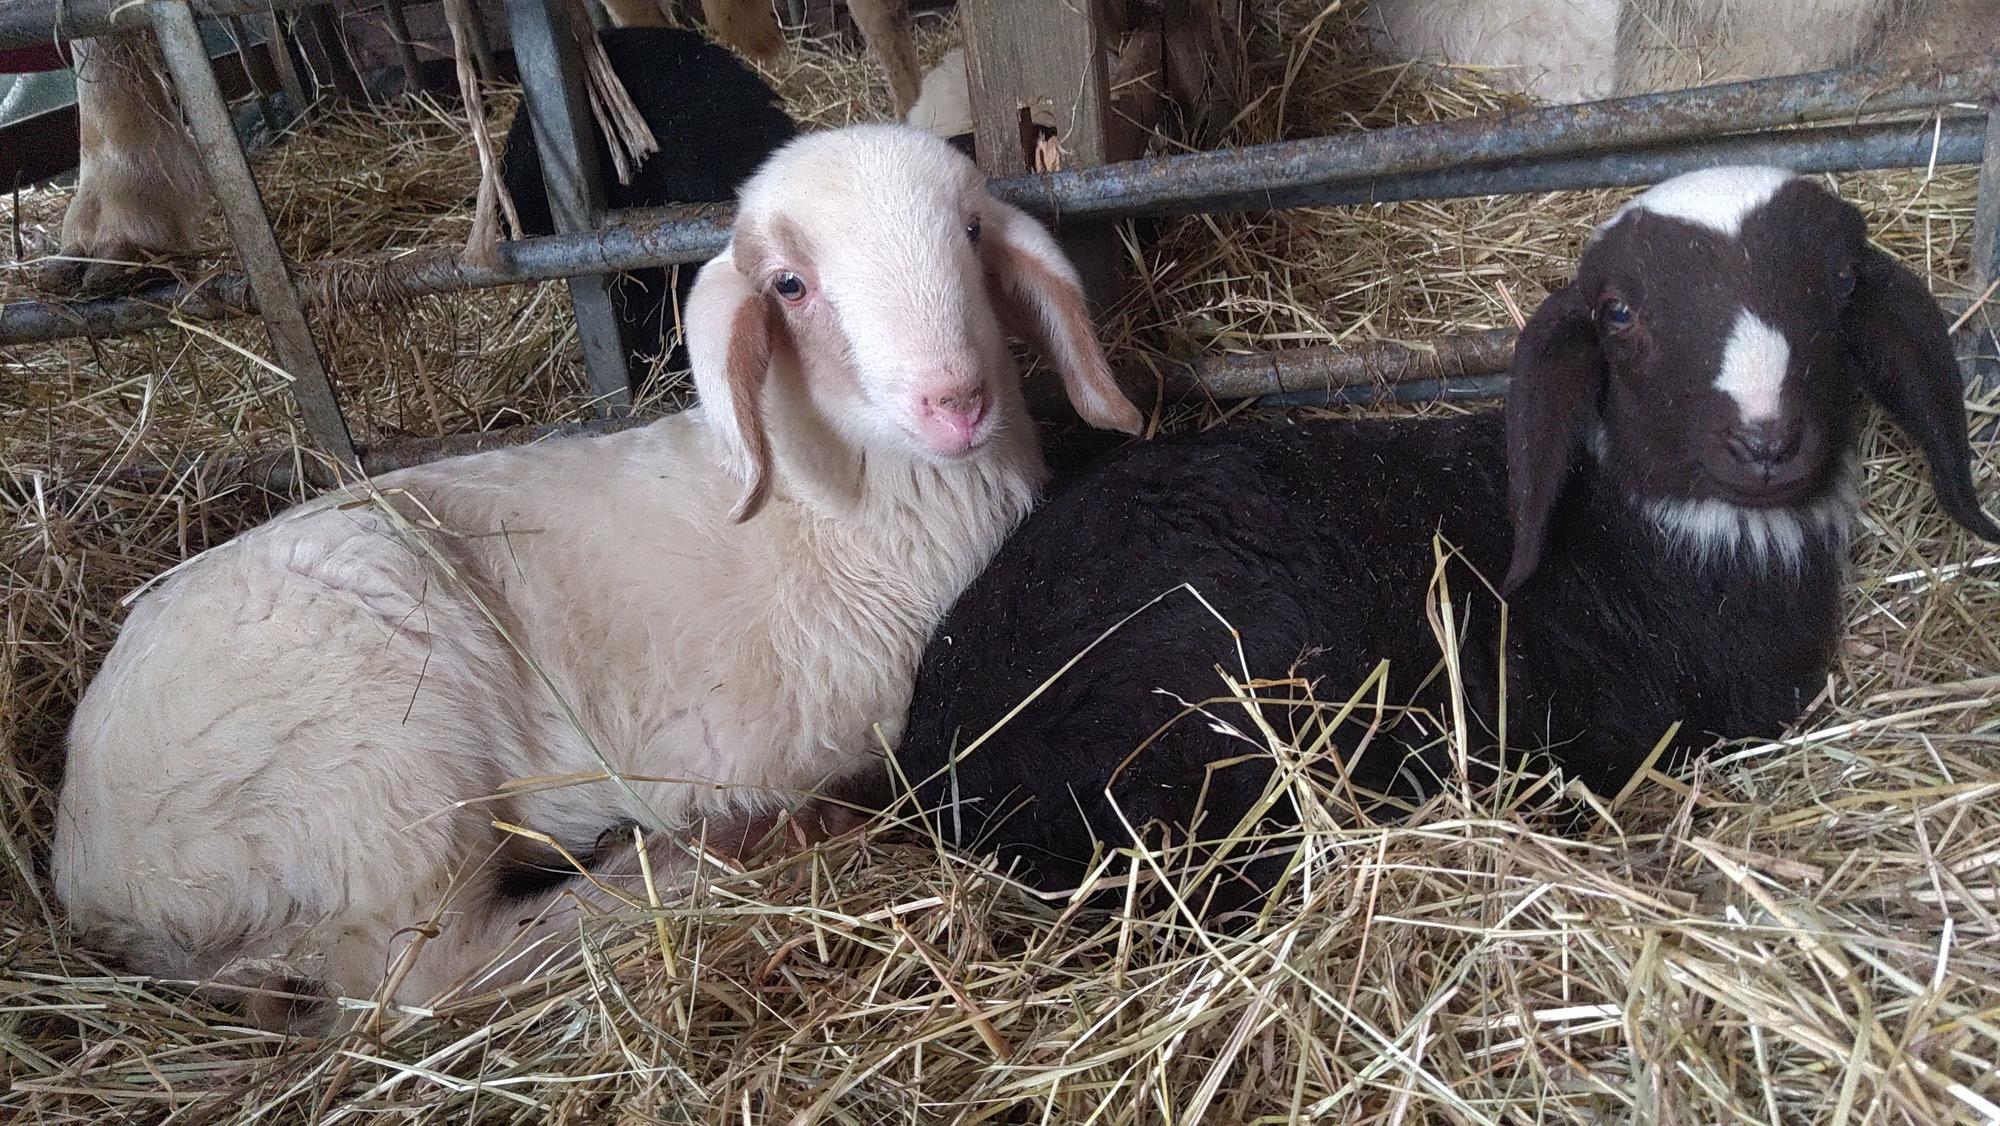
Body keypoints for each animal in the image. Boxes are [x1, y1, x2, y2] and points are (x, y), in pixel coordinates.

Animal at [51, 123, 1143, 1028]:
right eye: (789, 285)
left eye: (969, 228)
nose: (955, 401)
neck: (833, 513)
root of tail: (89, 866)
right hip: (372, 763)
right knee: (417, 978)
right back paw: (698, 862)